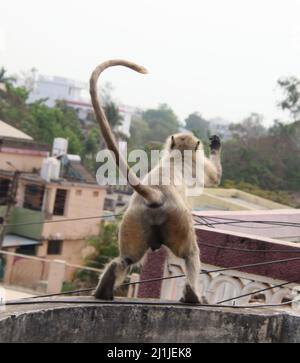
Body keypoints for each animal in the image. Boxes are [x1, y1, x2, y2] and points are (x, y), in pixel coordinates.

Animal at [89, 59, 223, 304]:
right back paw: (192, 295)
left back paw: (104, 289)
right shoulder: (200, 163)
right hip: (178, 220)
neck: (179, 155)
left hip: (134, 219)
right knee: (190, 253)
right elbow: (215, 178)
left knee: (126, 259)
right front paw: (216, 144)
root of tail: (157, 193)